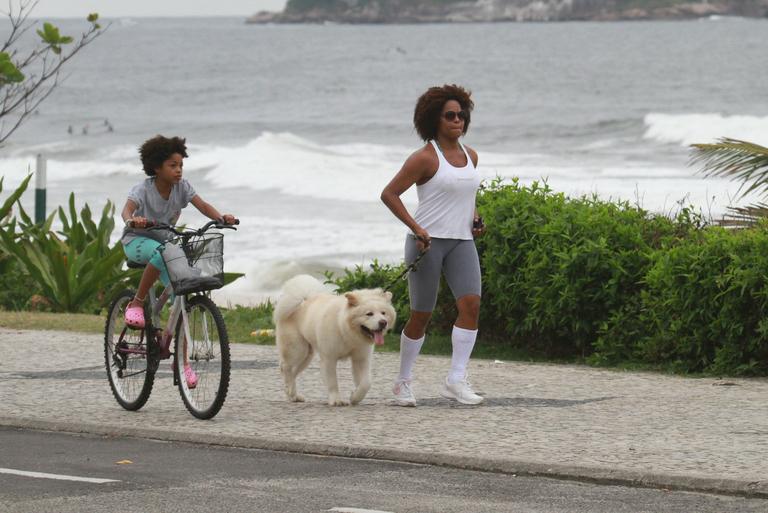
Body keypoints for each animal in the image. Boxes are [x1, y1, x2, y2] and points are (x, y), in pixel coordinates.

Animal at [272, 274, 396, 406]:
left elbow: (366, 383)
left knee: (293, 372)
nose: (383, 322)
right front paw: (336, 400)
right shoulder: (329, 359)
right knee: (285, 367)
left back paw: (293, 395)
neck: (346, 330)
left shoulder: (361, 359)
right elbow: (332, 382)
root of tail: (302, 301)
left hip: (307, 356)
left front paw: (355, 397)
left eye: (383, 313)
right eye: (369, 314)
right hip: (297, 350)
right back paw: (290, 390)